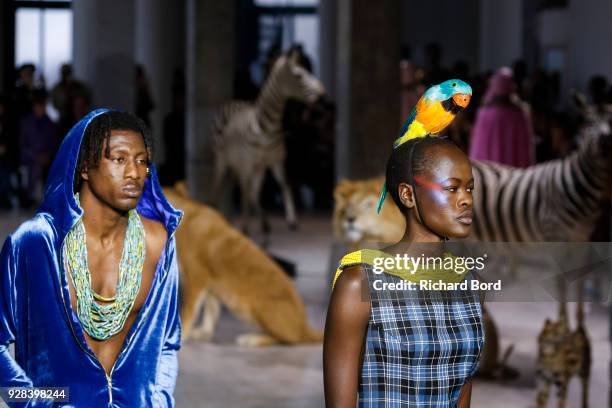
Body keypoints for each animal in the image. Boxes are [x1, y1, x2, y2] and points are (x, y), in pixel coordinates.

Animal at [165, 183, 322, 346]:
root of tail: (304, 327)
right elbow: (211, 312)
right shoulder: (211, 284)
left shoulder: (196, 278)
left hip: (261, 308)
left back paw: (252, 338)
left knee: (288, 339)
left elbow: (189, 312)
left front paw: (180, 336)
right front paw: (204, 333)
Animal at [212, 48, 326, 233]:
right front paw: (245, 225)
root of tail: (235, 101)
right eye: (299, 75)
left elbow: (284, 186)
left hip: (251, 167)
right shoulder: (248, 164)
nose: (323, 94)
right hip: (223, 159)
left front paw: (291, 220)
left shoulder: (275, 162)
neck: (267, 128)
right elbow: (247, 193)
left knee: (249, 190)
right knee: (221, 186)